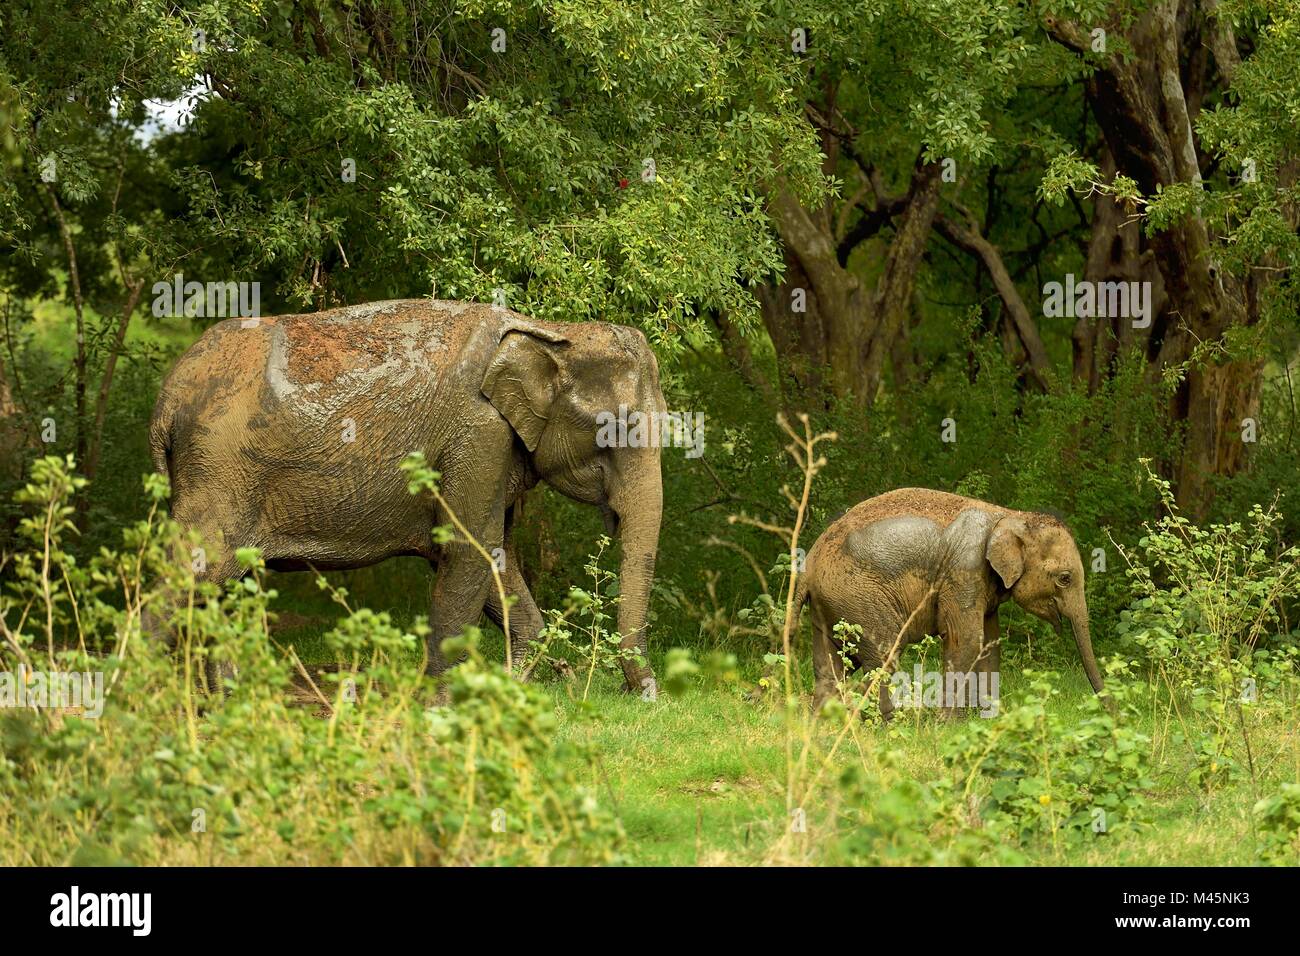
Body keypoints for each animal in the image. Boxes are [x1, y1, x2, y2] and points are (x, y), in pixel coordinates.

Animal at [147, 300, 665, 697]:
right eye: (609, 431)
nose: (641, 694)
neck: (555, 331)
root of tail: (168, 397)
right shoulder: (479, 435)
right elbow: (469, 552)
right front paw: (440, 707)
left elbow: (497, 556)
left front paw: (511, 684)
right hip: (220, 469)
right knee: (193, 571)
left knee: (222, 586)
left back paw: (228, 704)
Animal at [790, 489, 1107, 723]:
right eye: (1065, 578)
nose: (1111, 713)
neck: (1011, 516)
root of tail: (808, 565)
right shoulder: (964, 571)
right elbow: (965, 640)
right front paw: (948, 724)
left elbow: (989, 644)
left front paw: (987, 719)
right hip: (860, 597)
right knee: (883, 654)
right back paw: (885, 723)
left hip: (831, 605)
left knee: (831, 663)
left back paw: (824, 722)